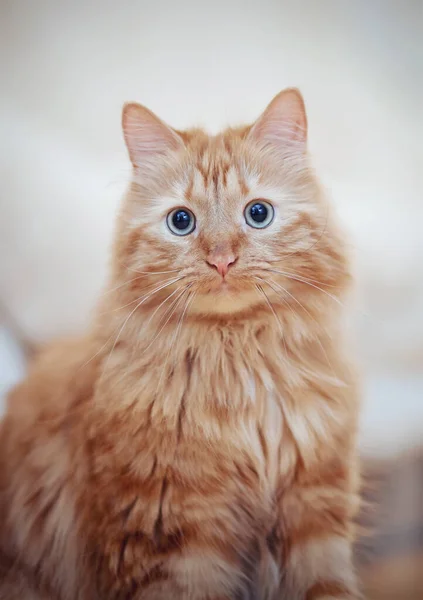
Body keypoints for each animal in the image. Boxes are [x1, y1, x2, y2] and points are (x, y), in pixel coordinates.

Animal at [0, 90, 362, 600]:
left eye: (258, 213)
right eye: (181, 221)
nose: (222, 259)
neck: (237, 359)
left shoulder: (315, 507)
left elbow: (326, 585)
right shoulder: (169, 536)